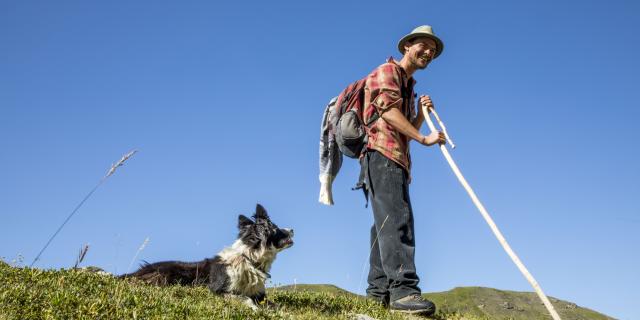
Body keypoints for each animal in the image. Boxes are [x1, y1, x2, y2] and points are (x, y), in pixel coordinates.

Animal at [119, 205, 294, 308]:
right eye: (277, 229)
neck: (248, 258)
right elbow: (246, 299)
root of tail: (136, 272)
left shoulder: (260, 294)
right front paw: (255, 309)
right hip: (166, 275)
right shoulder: (218, 290)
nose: (292, 229)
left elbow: (276, 305)